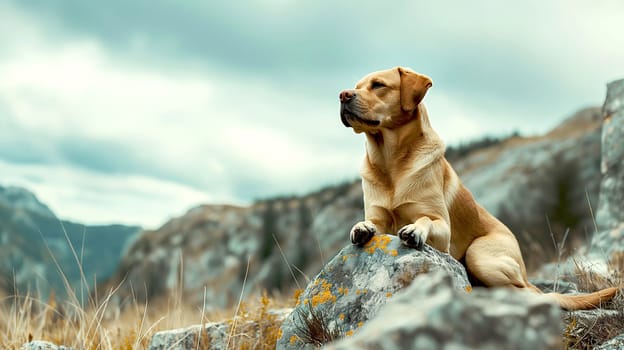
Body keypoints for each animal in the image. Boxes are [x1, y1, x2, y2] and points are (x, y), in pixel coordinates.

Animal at [342, 65, 620, 308]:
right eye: (357, 86)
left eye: (378, 85)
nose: (343, 95)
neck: (391, 162)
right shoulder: (379, 216)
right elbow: (372, 223)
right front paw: (362, 227)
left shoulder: (442, 229)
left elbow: (426, 219)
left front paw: (415, 230)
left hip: (479, 254)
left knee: (528, 291)